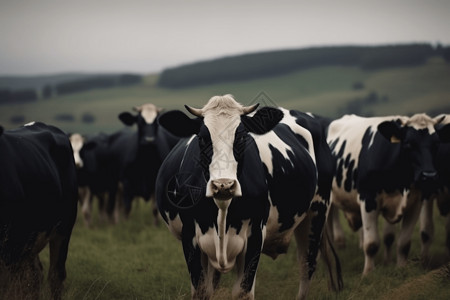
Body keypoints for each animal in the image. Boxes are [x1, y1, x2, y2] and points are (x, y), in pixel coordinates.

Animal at [155, 95, 342, 300]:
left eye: (241, 137)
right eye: (203, 138)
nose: (223, 184)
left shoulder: (256, 233)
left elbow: (242, 291)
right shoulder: (189, 235)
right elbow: (202, 290)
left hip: (318, 209)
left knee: (307, 264)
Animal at [326, 113, 450, 276]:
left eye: (436, 143)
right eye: (408, 144)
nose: (429, 176)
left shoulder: (415, 202)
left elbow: (403, 242)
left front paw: (401, 268)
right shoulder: (368, 199)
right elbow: (371, 244)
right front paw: (368, 273)